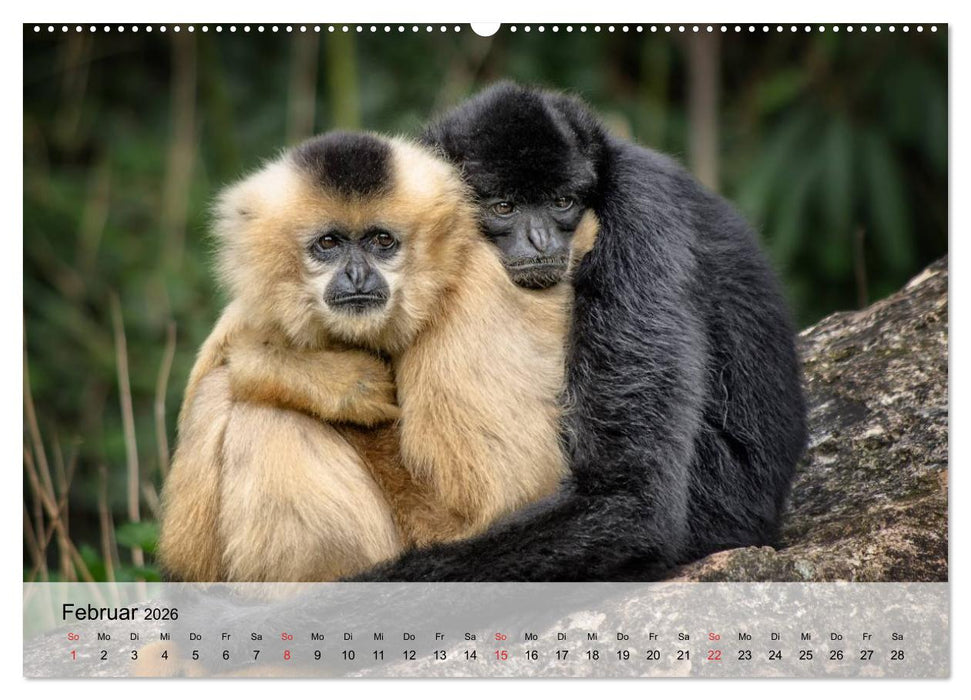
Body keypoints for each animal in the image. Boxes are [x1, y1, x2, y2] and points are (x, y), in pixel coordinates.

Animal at [157, 130, 597, 582]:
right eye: (328, 243)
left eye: (382, 241)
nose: (357, 275)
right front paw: (337, 379)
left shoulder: (474, 298)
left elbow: (489, 510)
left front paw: (284, 366)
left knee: (259, 411)